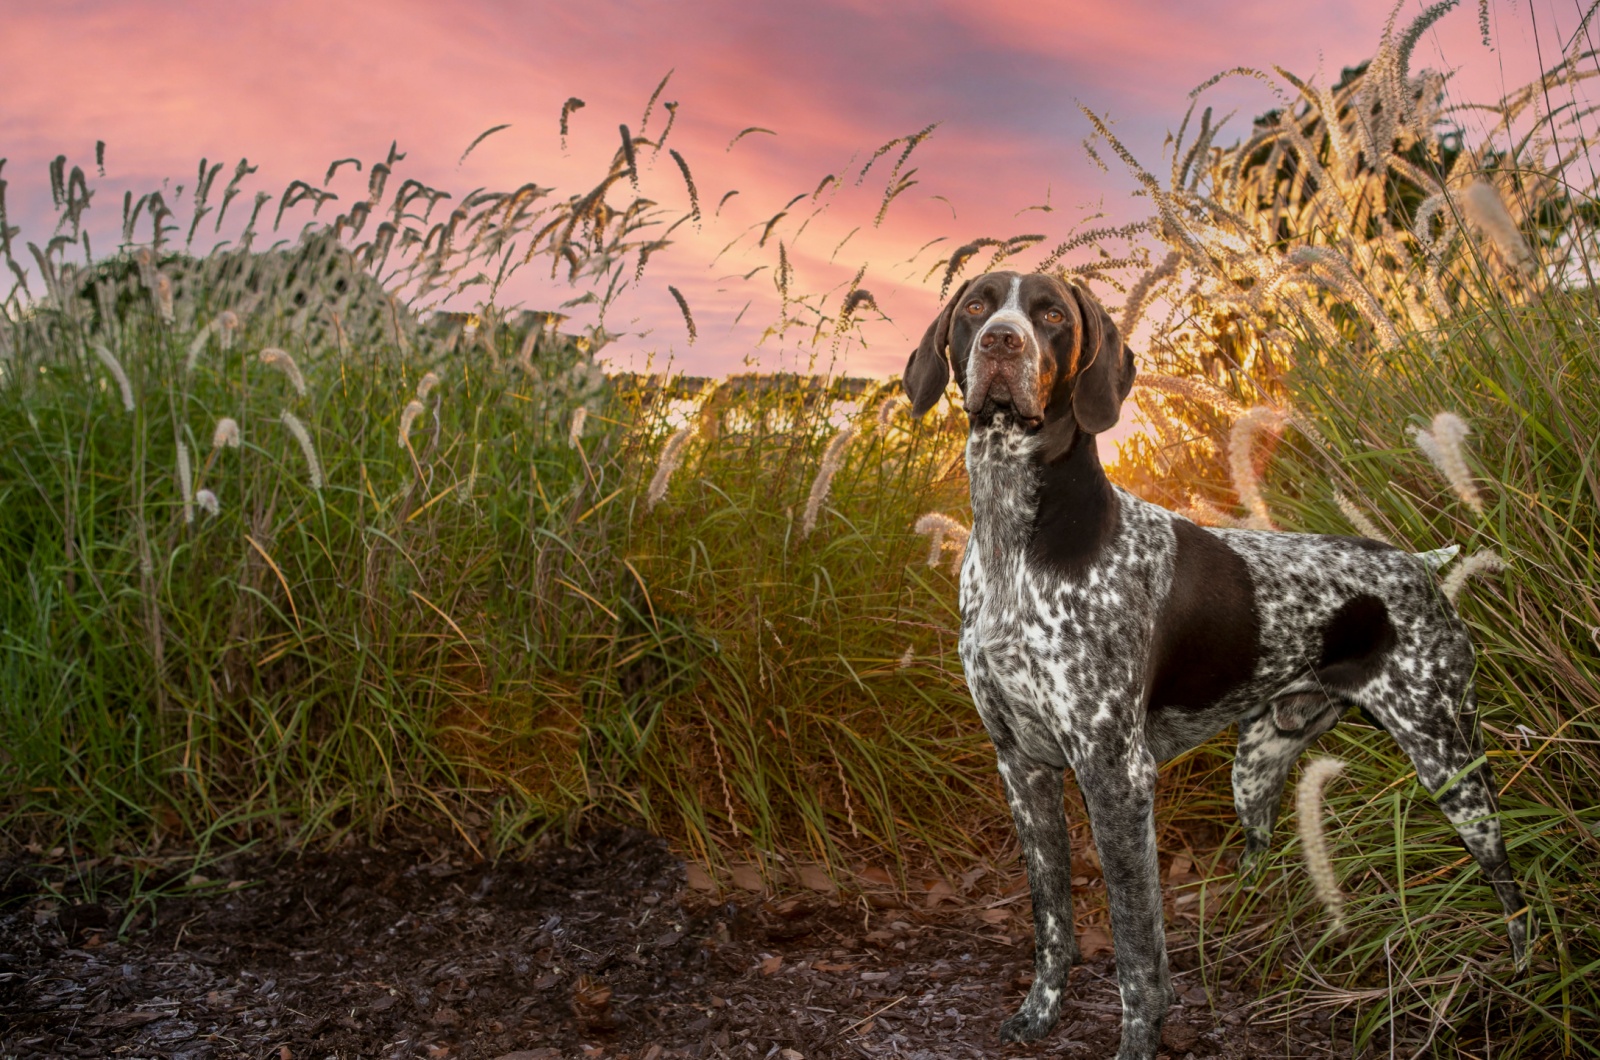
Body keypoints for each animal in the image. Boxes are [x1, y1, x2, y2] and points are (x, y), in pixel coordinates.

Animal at [908, 273, 1529, 1060]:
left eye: (1050, 314)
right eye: (976, 308)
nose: (1000, 343)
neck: (1013, 538)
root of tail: (1417, 562)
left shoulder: (1116, 775)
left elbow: (1137, 949)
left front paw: (1138, 1041)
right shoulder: (1023, 768)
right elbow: (1053, 921)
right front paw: (1037, 1015)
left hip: (1449, 758)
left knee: (1509, 886)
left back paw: (1522, 980)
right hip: (1256, 769)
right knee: (1261, 855)